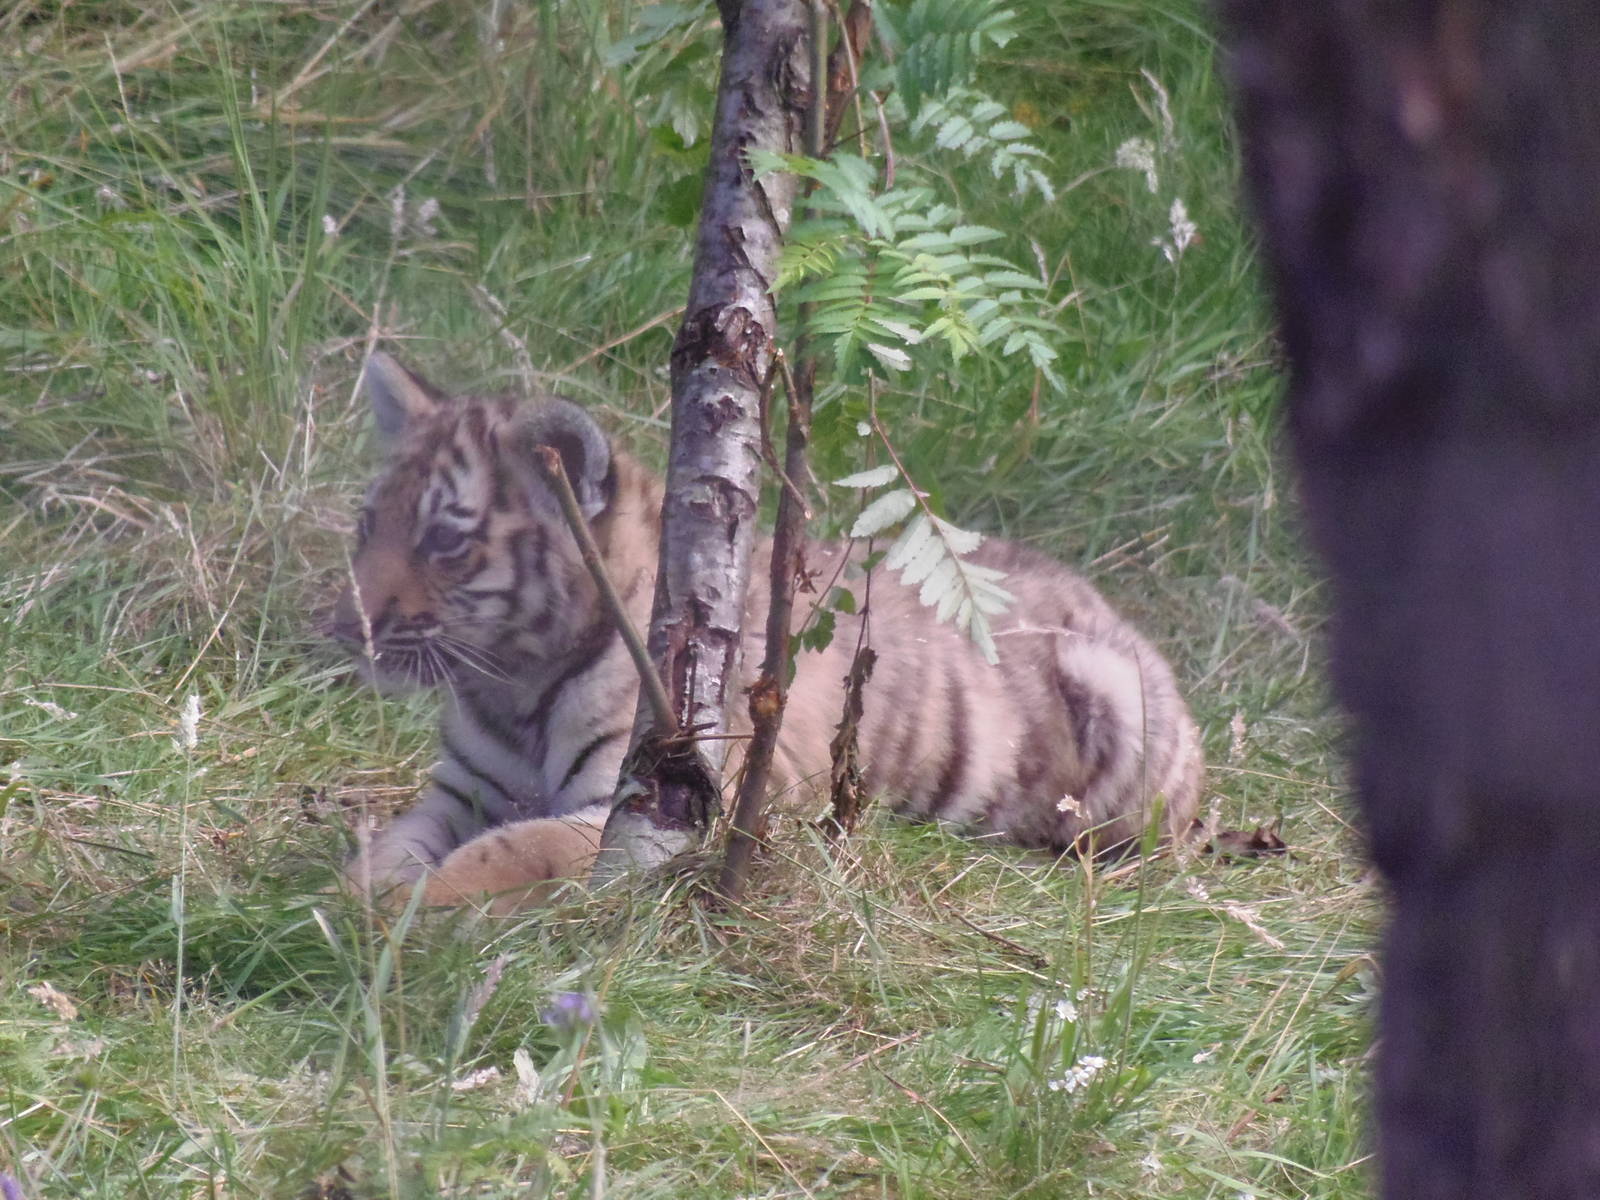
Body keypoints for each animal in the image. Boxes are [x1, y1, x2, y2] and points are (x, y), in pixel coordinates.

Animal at [329, 352, 1204, 913]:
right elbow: (391, 842)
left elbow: (516, 847)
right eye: (369, 525)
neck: (512, 684)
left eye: (445, 540)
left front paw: (414, 910)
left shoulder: (670, 800)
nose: (344, 627)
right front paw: (353, 896)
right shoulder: (460, 790)